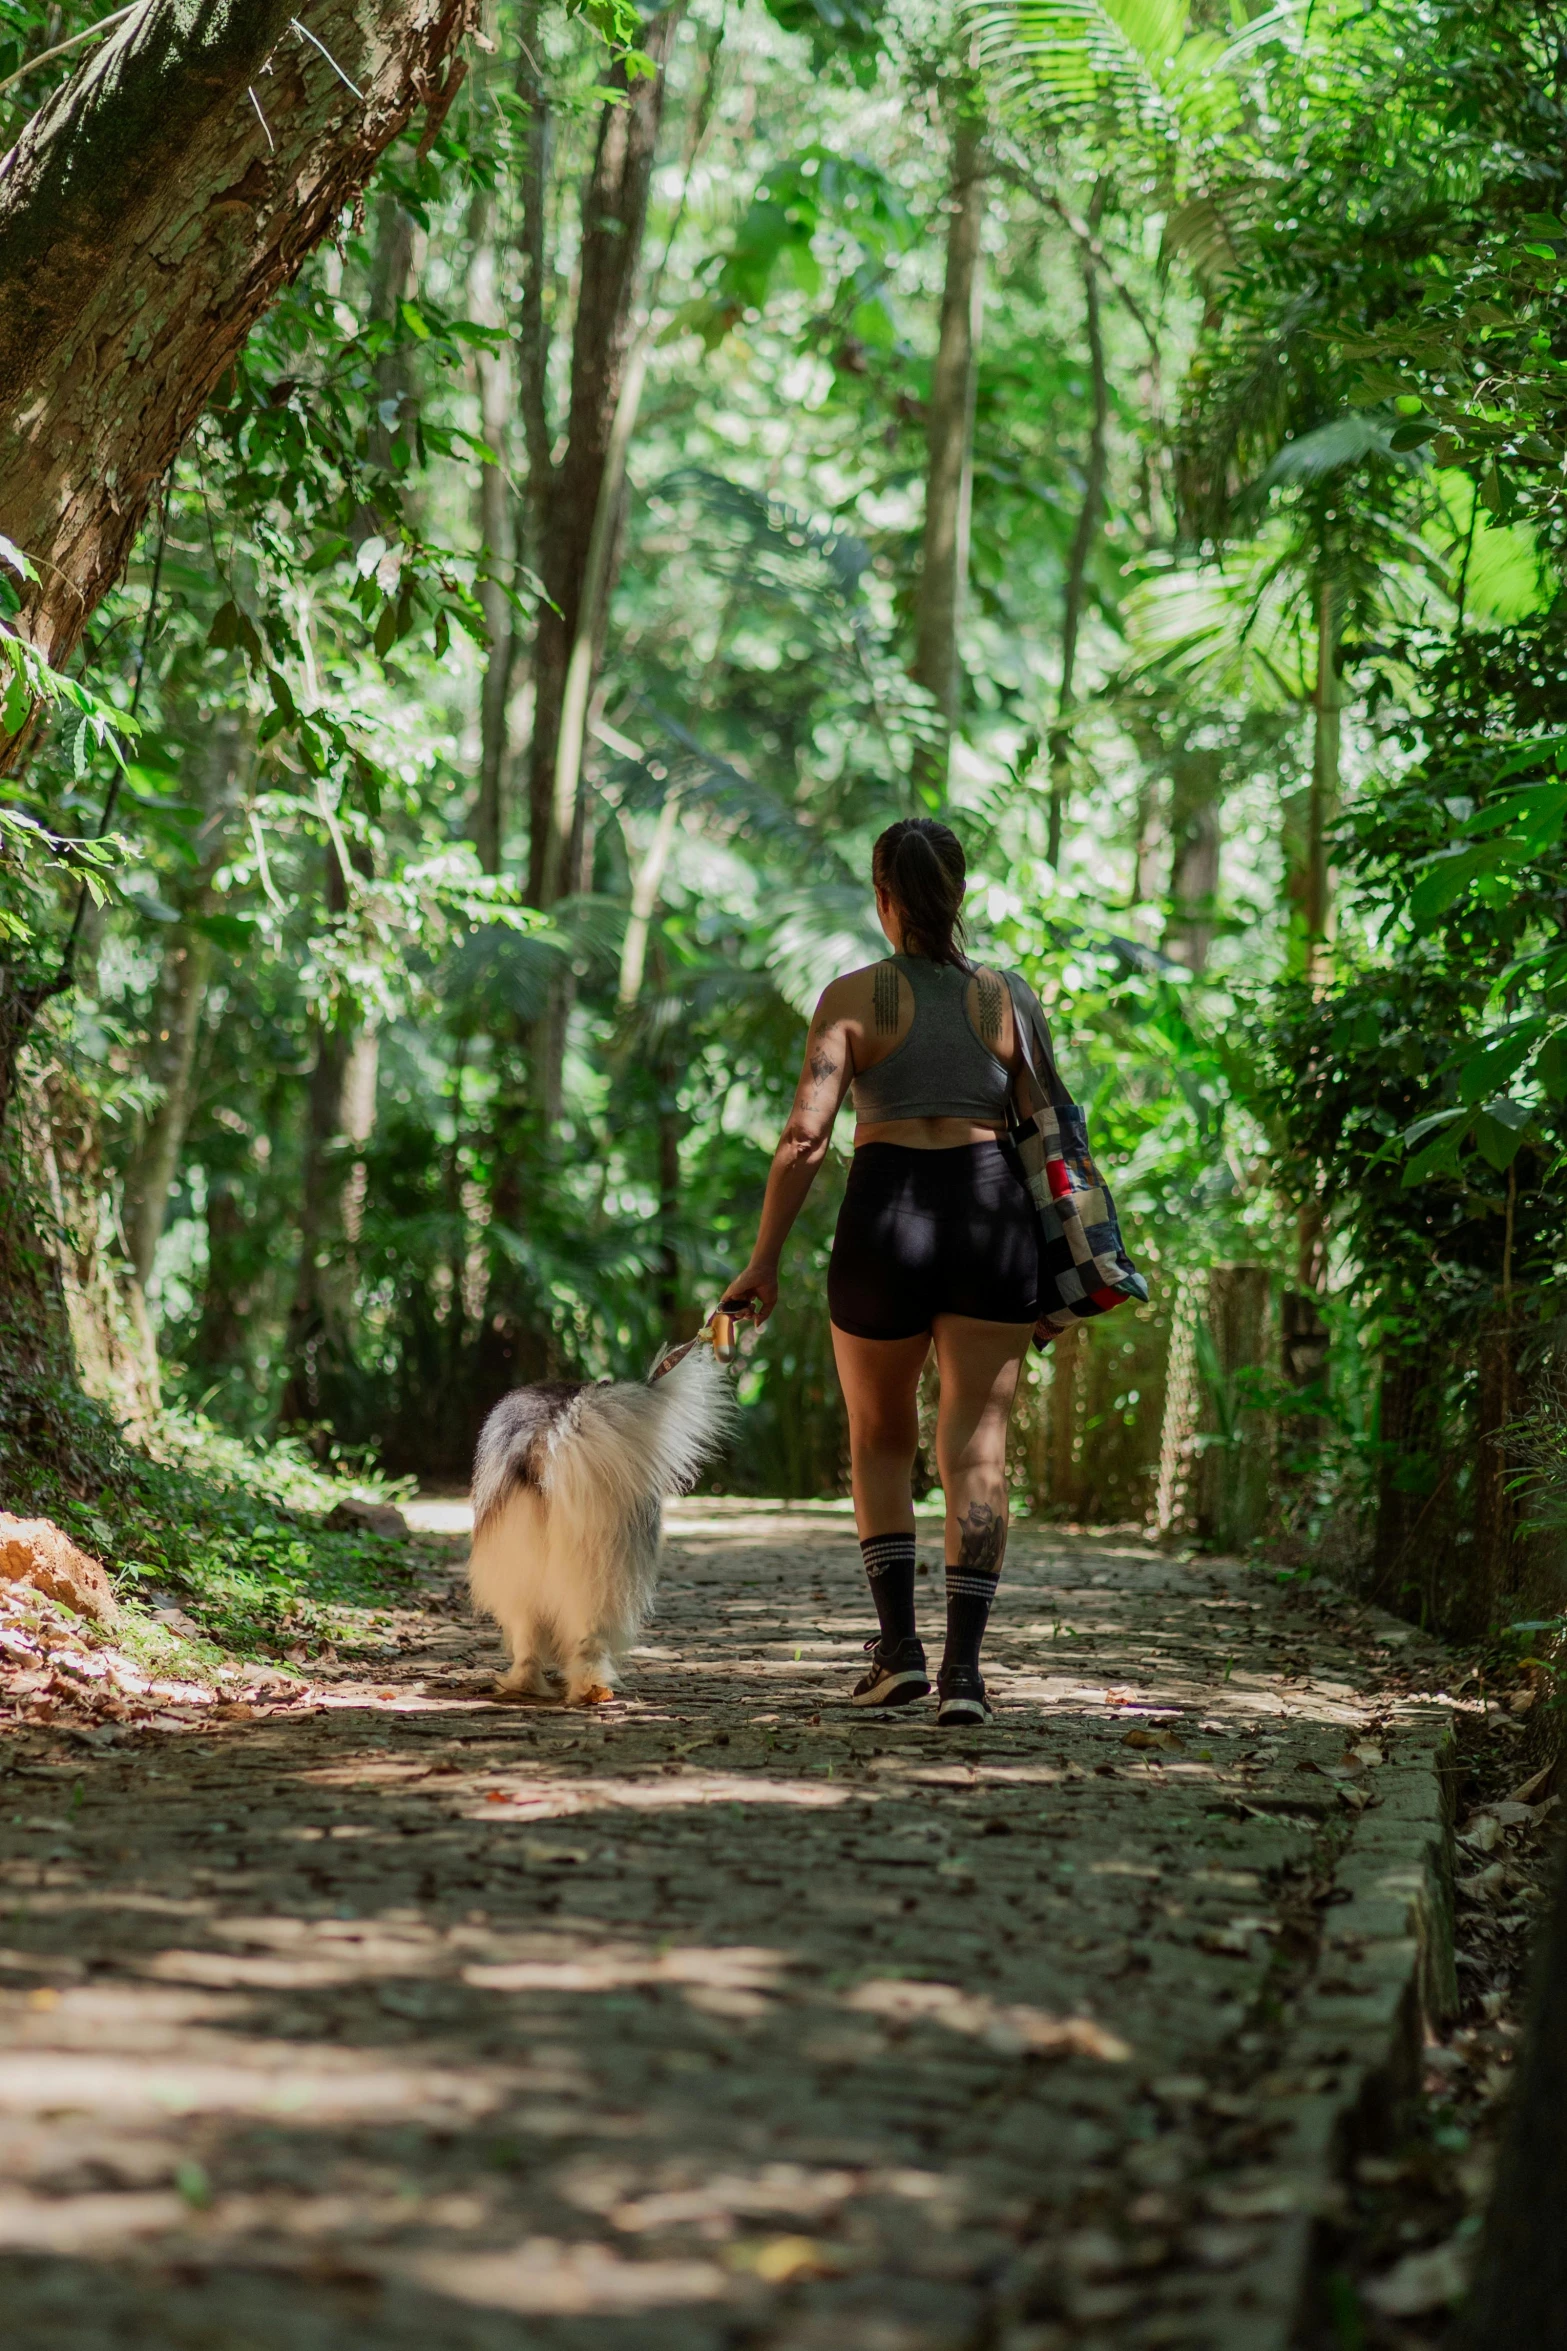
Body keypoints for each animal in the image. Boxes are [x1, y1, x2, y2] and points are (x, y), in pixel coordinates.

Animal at [469, 1344, 732, 1711]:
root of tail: (554, 1429)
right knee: (587, 1637)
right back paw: (588, 1689)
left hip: (528, 1562)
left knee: (534, 1637)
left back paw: (534, 1685)